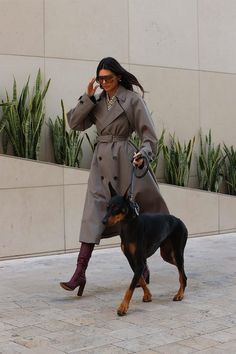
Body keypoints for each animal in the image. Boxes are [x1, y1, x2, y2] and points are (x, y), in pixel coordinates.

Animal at [102, 183, 187, 316]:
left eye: (116, 208)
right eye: (107, 207)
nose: (103, 221)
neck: (128, 225)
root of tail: (180, 221)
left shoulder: (140, 261)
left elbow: (131, 287)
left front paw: (123, 307)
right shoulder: (132, 260)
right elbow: (140, 279)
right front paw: (148, 295)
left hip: (177, 252)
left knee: (181, 272)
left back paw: (180, 294)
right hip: (166, 254)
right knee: (182, 270)